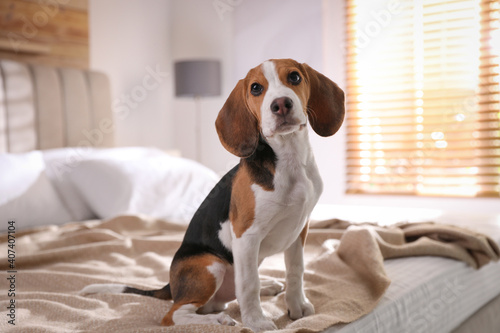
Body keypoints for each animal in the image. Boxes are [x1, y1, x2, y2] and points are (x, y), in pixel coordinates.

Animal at [82, 58, 346, 330]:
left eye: (294, 77)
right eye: (255, 88)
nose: (281, 104)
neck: (289, 160)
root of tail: (172, 286)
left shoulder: (299, 229)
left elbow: (296, 271)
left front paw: (297, 307)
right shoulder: (247, 236)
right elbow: (249, 284)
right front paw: (256, 321)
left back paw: (265, 287)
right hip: (211, 265)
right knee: (175, 314)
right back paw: (218, 319)